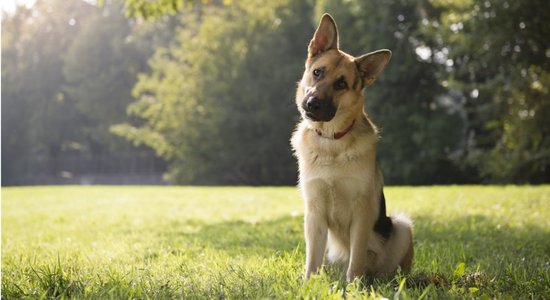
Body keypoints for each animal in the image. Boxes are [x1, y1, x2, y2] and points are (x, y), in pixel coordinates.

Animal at [292, 12, 416, 282]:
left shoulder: (362, 212)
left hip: (401, 226)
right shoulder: (314, 213)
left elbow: (356, 257)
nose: (312, 103)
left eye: (341, 84)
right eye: (318, 72)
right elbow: (312, 259)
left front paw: (354, 285)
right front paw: (308, 284)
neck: (331, 141)